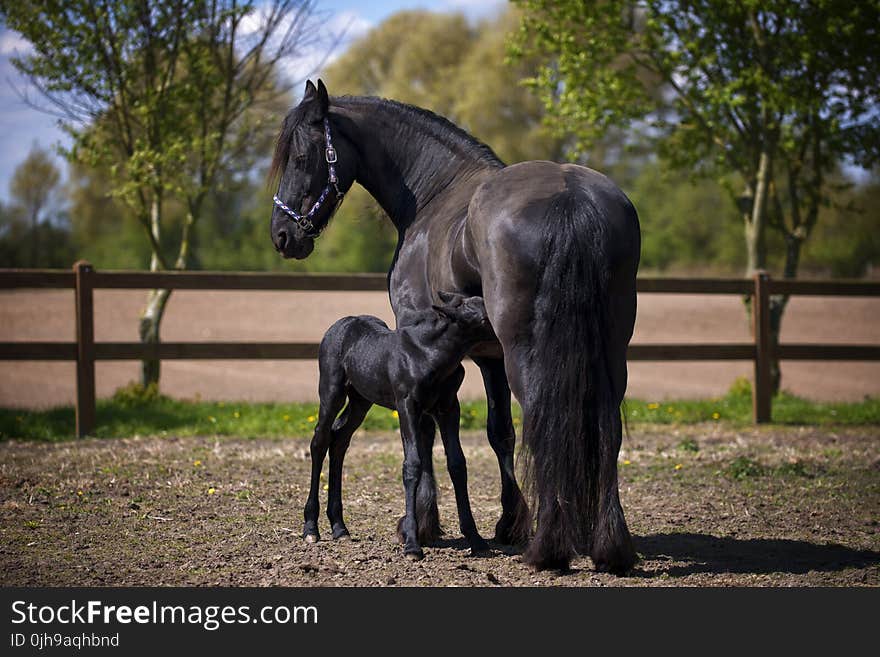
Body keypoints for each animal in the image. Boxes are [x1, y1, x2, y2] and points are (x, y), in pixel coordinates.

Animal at [302, 292, 496, 560]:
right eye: (484, 317)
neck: (429, 355)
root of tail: (340, 324)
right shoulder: (407, 406)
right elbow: (412, 465)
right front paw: (412, 544)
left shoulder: (448, 408)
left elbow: (457, 464)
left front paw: (475, 539)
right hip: (331, 391)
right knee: (320, 441)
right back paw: (311, 528)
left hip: (361, 400)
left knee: (339, 439)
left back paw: (340, 528)